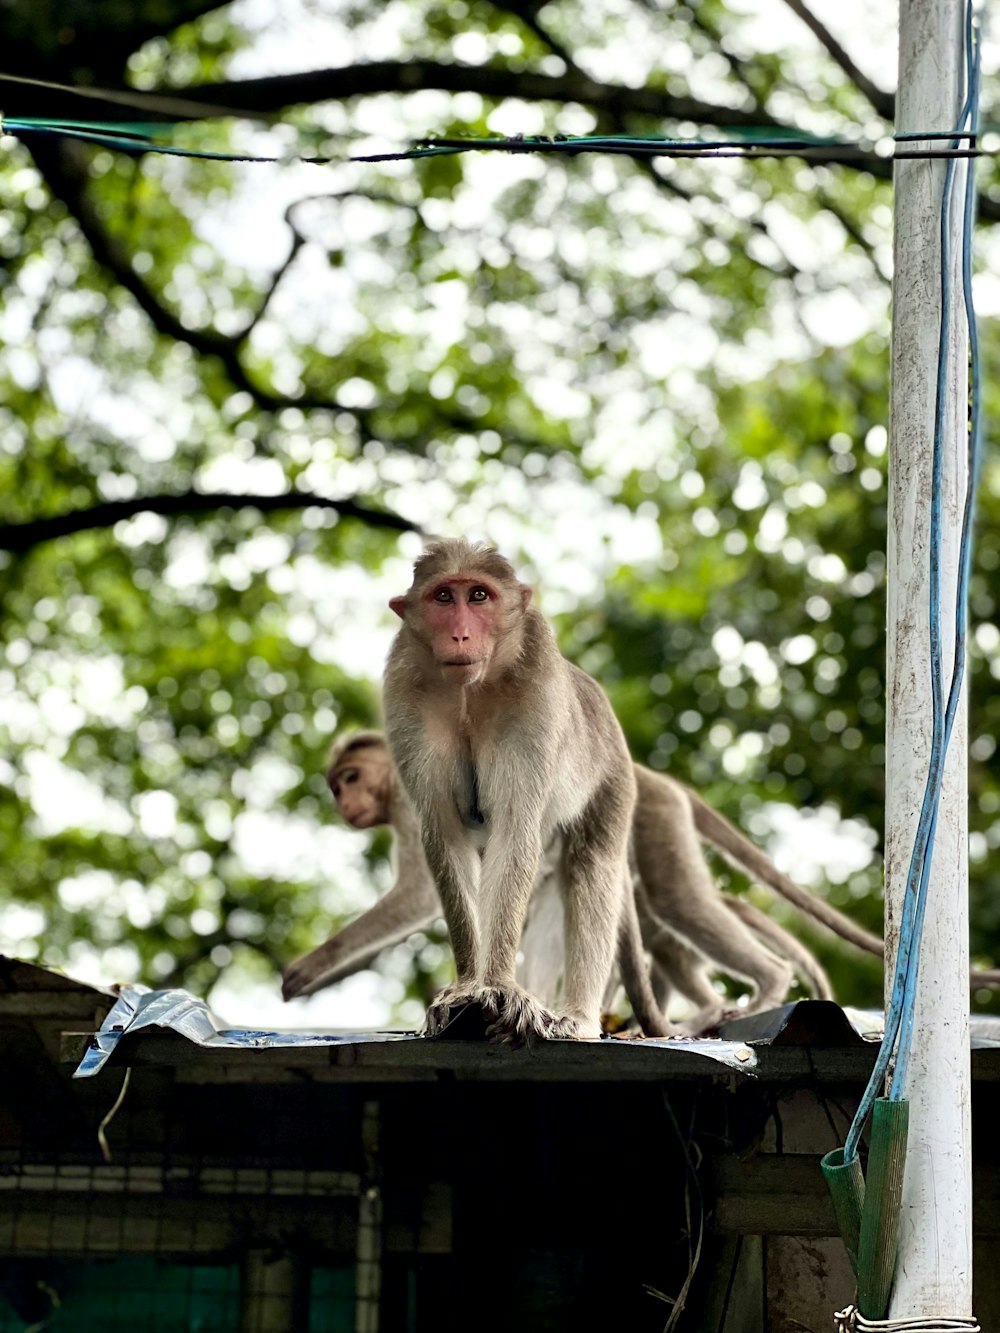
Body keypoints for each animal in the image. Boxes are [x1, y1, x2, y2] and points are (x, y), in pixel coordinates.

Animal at [384, 538, 674, 1039]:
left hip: (614, 782)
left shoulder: (536, 696)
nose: (460, 635)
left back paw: (578, 1014)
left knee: (591, 867)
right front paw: (467, 986)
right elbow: (446, 834)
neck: (469, 691)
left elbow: (516, 829)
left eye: (479, 596)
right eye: (444, 597)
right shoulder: (404, 693)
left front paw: (500, 986)